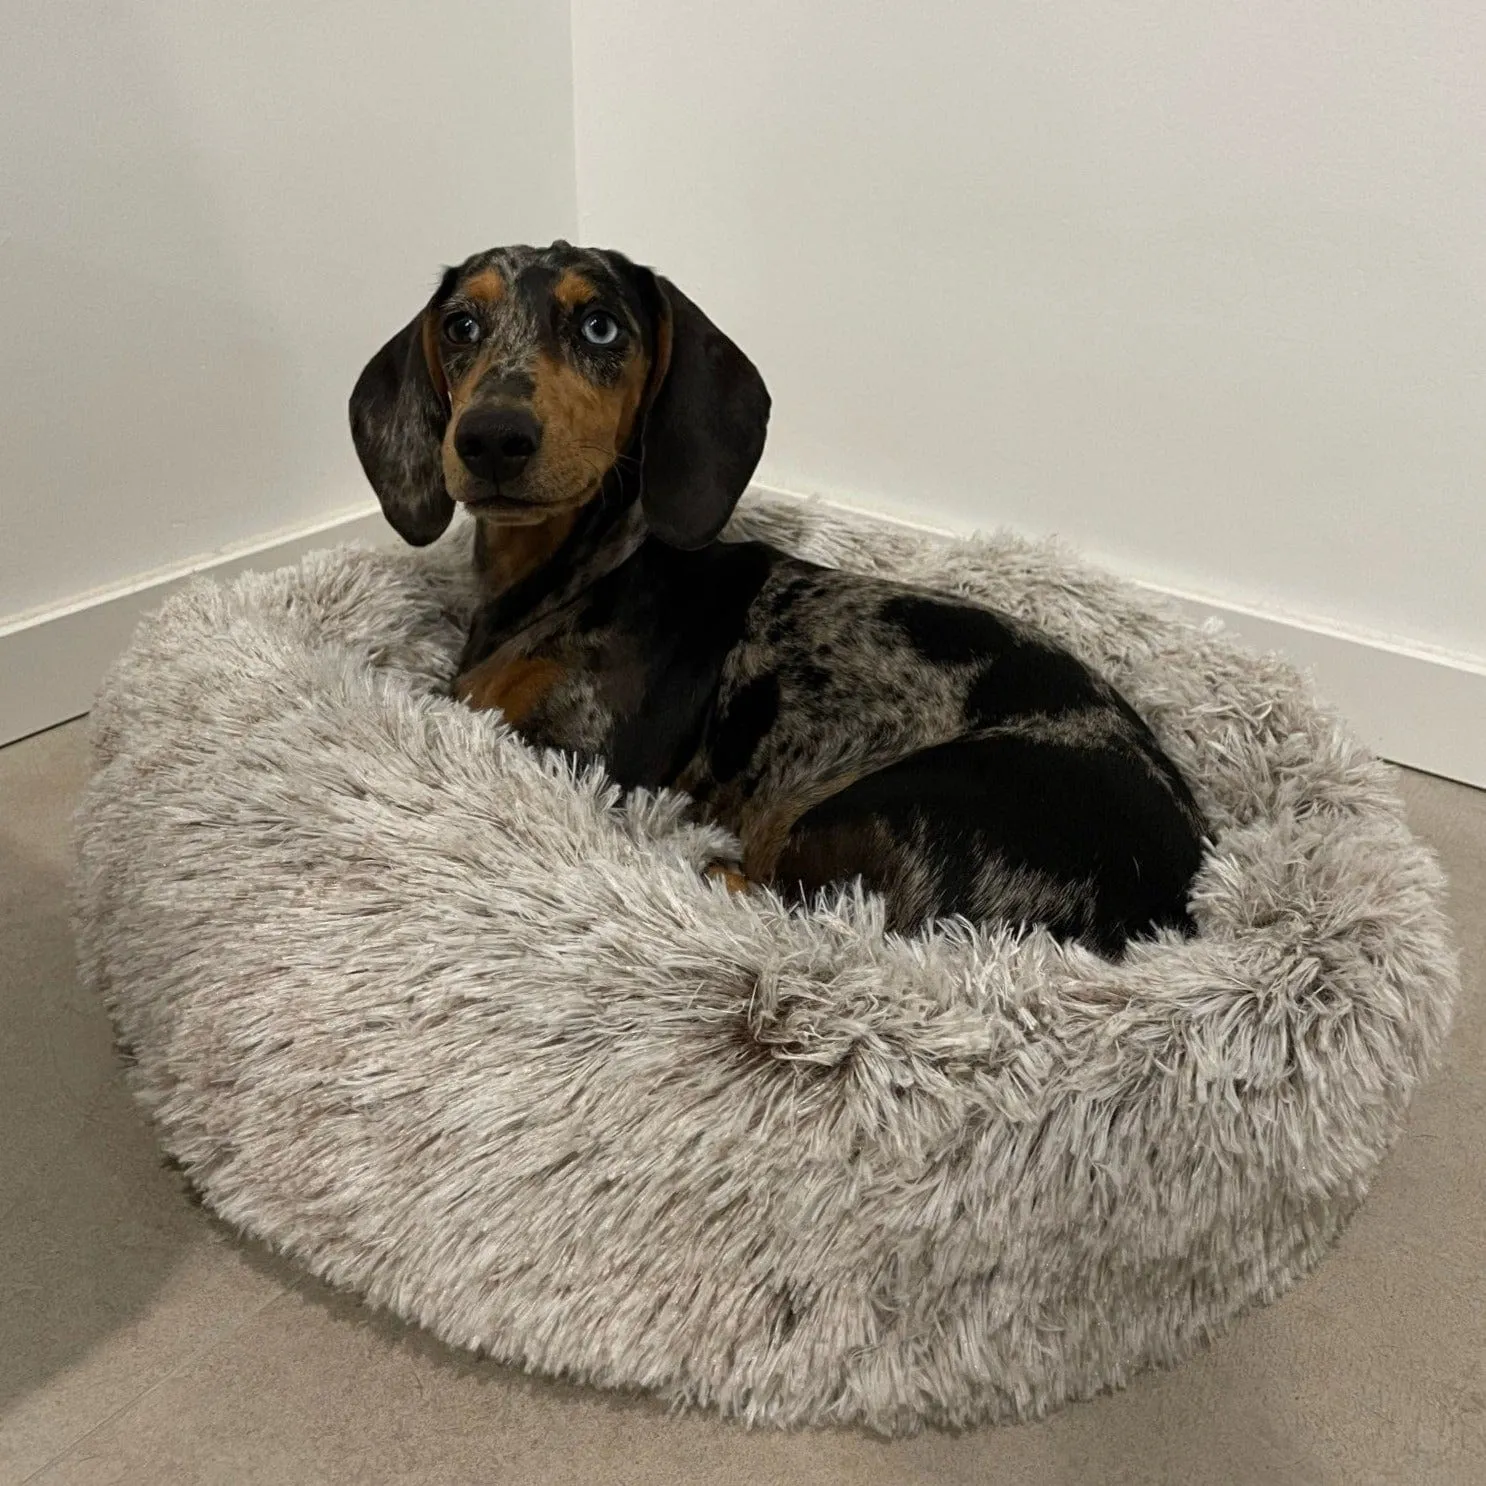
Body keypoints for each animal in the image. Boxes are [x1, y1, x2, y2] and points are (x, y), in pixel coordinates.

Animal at [350, 237, 1206, 956]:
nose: (491, 438)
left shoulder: (583, 756)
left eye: (599, 326)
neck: (578, 567)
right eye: (461, 325)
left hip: (866, 812)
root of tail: (1165, 909)